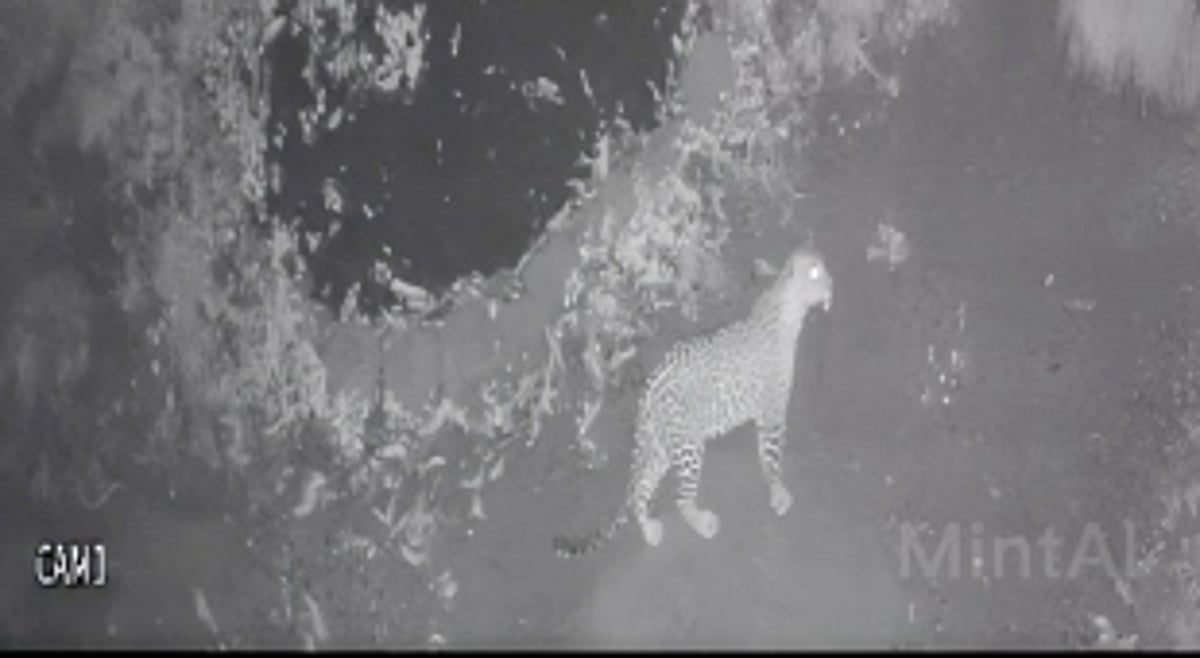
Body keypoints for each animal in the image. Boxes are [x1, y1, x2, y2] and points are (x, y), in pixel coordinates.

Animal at [553, 245, 833, 557]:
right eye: (816, 272)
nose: (832, 286)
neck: (786, 305)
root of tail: (648, 393)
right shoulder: (772, 413)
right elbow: (772, 459)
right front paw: (779, 493)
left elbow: (765, 457)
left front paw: (775, 489)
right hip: (687, 444)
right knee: (681, 499)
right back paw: (703, 525)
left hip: (660, 447)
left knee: (641, 490)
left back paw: (650, 532)